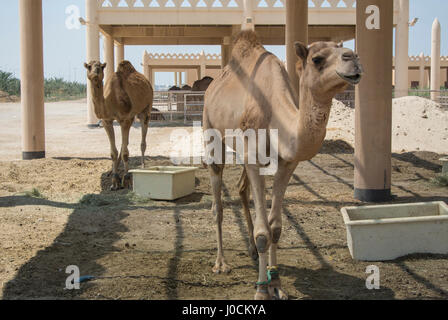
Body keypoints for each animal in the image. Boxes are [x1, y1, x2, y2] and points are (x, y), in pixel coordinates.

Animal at [84, 60, 154, 190]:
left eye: (101, 66)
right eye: (89, 66)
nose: (96, 71)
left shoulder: (125, 119)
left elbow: (126, 153)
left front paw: (126, 179)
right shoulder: (107, 120)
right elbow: (113, 152)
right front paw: (114, 180)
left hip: (146, 109)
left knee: (142, 141)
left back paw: (143, 166)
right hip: (132, 116)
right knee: (124, 143)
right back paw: (112, 171)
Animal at [203, 30, 364, 300]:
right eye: (317, 59)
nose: (353, 57)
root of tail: (211, 88)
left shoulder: (286, 163)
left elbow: (275, 227)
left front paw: (276, 283)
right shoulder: (254, 155)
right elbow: (263, 233)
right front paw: (261, 290)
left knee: (241, 188)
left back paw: (251, 251)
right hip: (210, 128)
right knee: (218, 202)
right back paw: (221, 263)